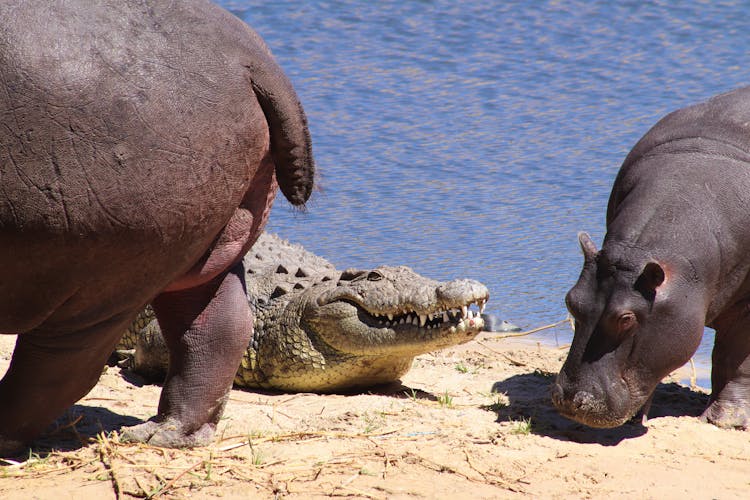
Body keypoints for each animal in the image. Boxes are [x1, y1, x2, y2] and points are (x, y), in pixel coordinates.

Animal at [0, 0, 316, 454]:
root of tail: (253, 59)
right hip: (204, 242)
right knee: (214, 327)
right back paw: (168, 433)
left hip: (102, 268)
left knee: (60, 365)